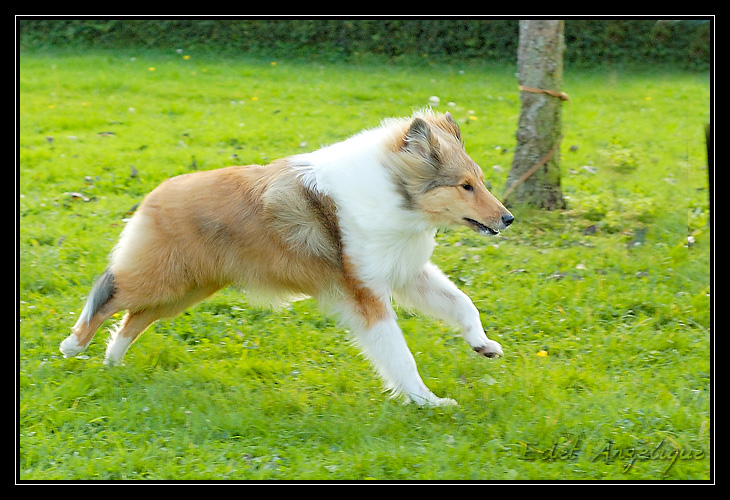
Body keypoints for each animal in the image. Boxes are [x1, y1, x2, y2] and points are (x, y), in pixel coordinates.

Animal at [61, 110, 512, 406]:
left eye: (480, 181)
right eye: (465, 185)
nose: (507, 219)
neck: (392, 188)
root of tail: (153, 193)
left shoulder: (406, 273)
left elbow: (462, 303)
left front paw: (484, 345)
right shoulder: (366, 294)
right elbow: (400, 355)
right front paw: (427, 401)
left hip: (186, 290)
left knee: (134, 318)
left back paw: (113, 361)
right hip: (163, 280)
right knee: (108, 293)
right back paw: (72, 346)